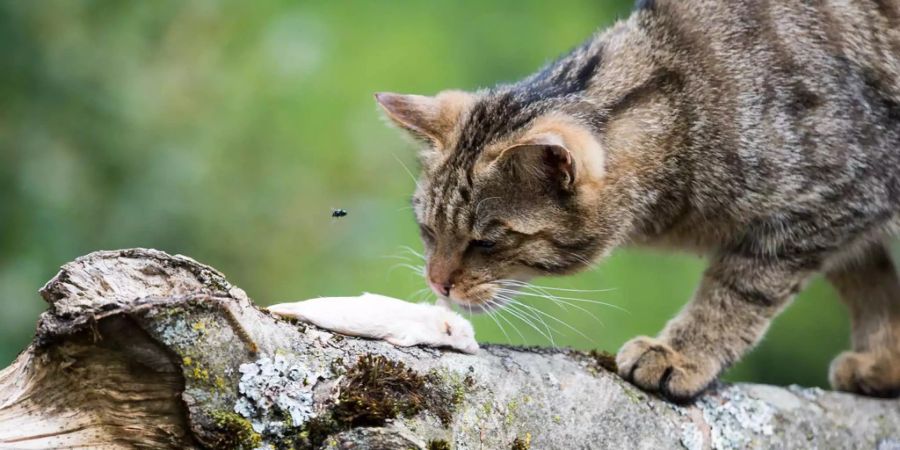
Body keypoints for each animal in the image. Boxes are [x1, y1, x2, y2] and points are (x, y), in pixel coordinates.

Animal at [374, 0, 900, 400]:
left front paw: (681, 353)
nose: (437, 282)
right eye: (427, 230)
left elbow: (738, 288)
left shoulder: (832, 202)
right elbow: (869, 285)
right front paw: (884, 360)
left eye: (486, 242)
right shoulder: (851, 223)